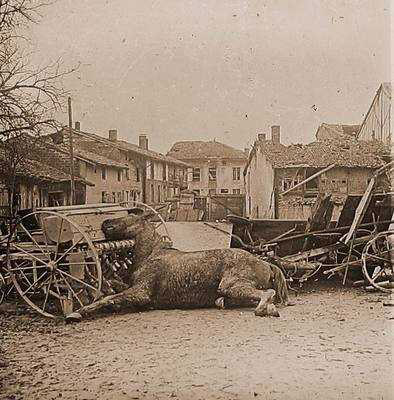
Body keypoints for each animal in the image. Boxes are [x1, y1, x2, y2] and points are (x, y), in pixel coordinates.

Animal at [76, 212, 292, 318]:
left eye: (131, 217)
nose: (105, 222)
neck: (151, 254)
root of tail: (265, 263)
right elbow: (112, 292)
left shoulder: (141, 293)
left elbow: (109, 298)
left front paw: (78, 313)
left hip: (231, 285)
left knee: (268, 293)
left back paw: (265, 310)